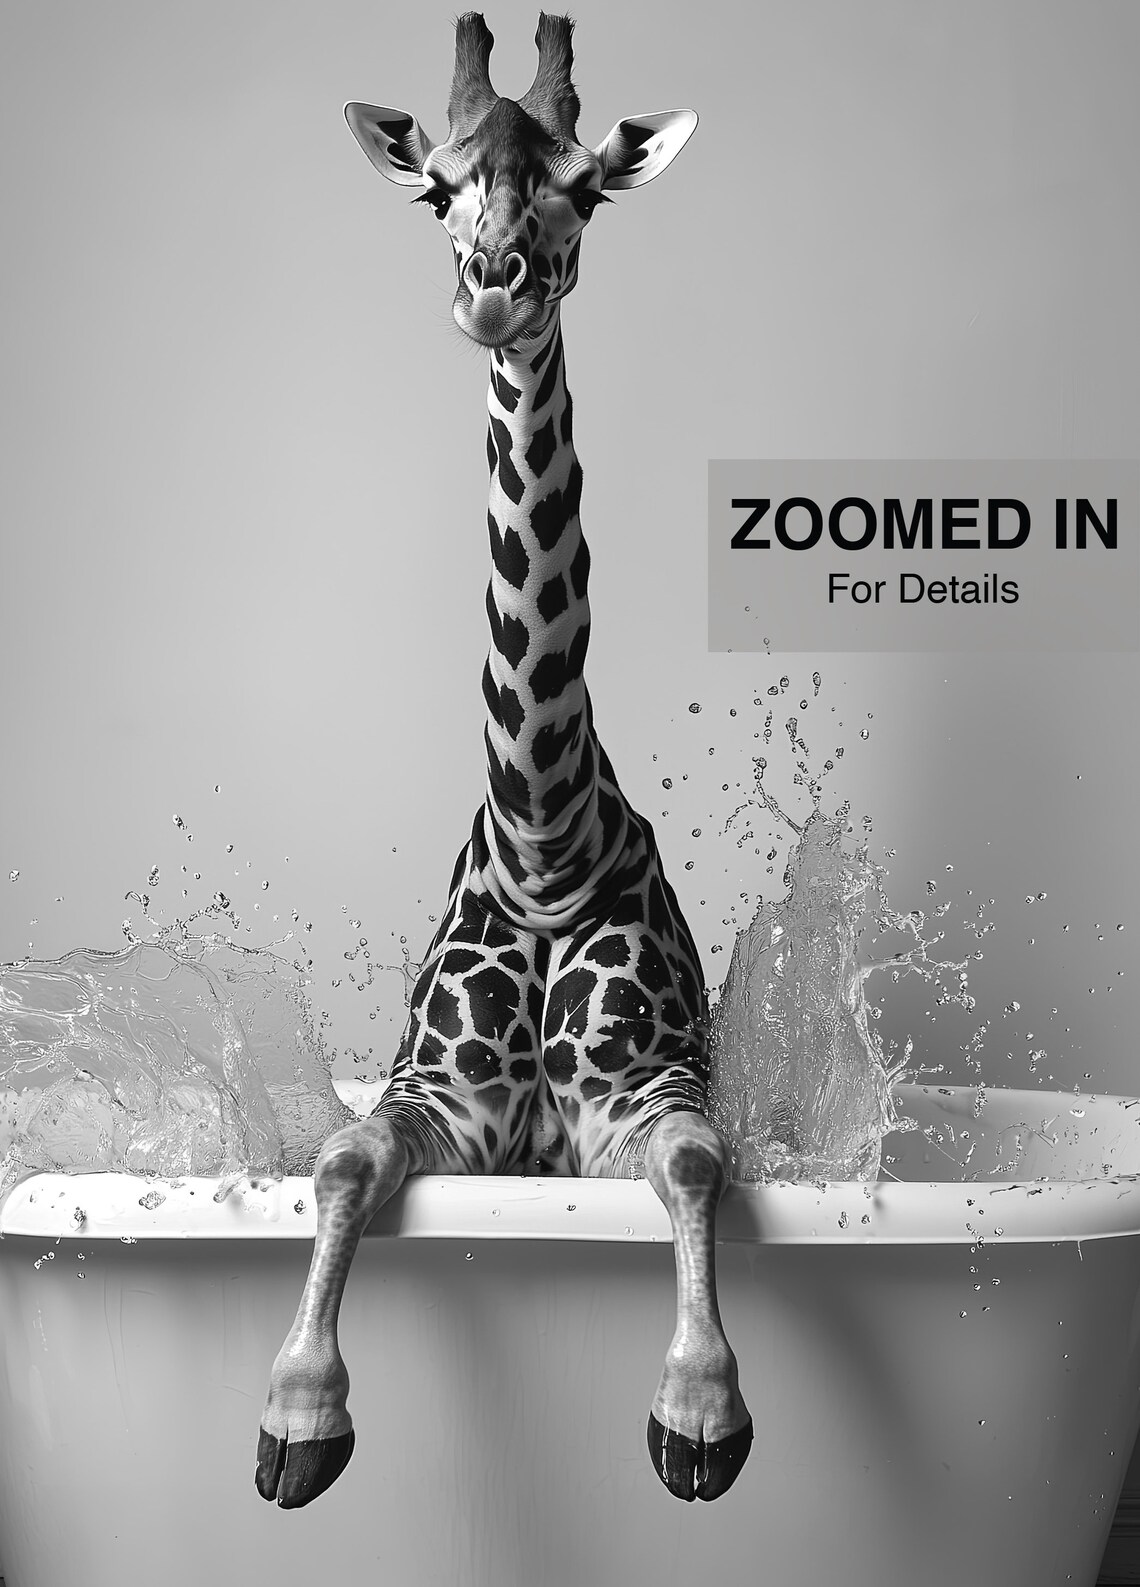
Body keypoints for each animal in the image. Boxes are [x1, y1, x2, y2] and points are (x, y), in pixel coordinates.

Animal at [255, 12, 753, 1509]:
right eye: (436, 190)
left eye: (587, 189)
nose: (495, 290)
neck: (546, 842)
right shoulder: (437, 1102)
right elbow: (341, 1157)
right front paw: (300, 1409)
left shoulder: (640, 1098)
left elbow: (697, 1161)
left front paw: (699, 1407)